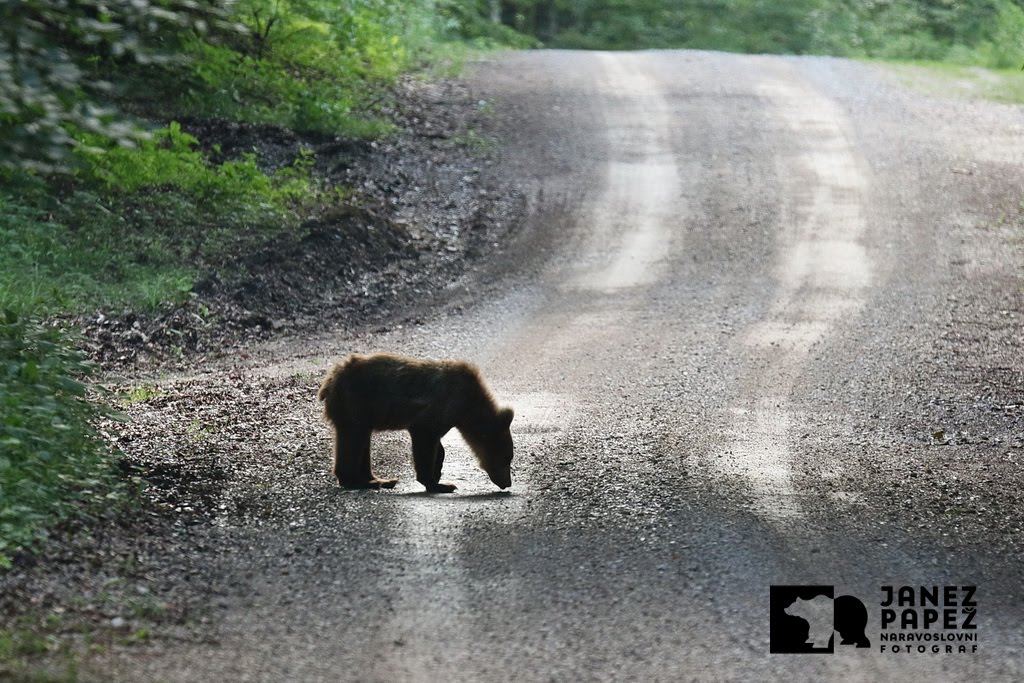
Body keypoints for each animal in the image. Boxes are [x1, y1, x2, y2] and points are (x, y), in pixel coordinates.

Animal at [317, 352, 516, 491]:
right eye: (506, 458)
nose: (507, 483)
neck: (469, 407)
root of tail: (331, 378)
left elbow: (437, 444)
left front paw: (438, 469)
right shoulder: (444, 405)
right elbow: (425, 437)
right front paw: (439, 484)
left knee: (362, 441)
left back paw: (378, 479)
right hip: (355, 403)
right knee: (353, 439)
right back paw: (360, 481)